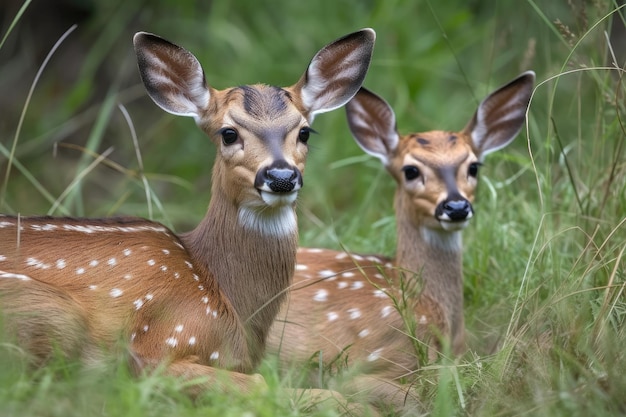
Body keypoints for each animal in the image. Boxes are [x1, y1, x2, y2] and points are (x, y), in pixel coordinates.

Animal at [0, 27, 372, 404]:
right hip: (48, 311)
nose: (281, 176)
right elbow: (262, 385)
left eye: (304, 132)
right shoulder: (161, 341)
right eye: (228, 133)